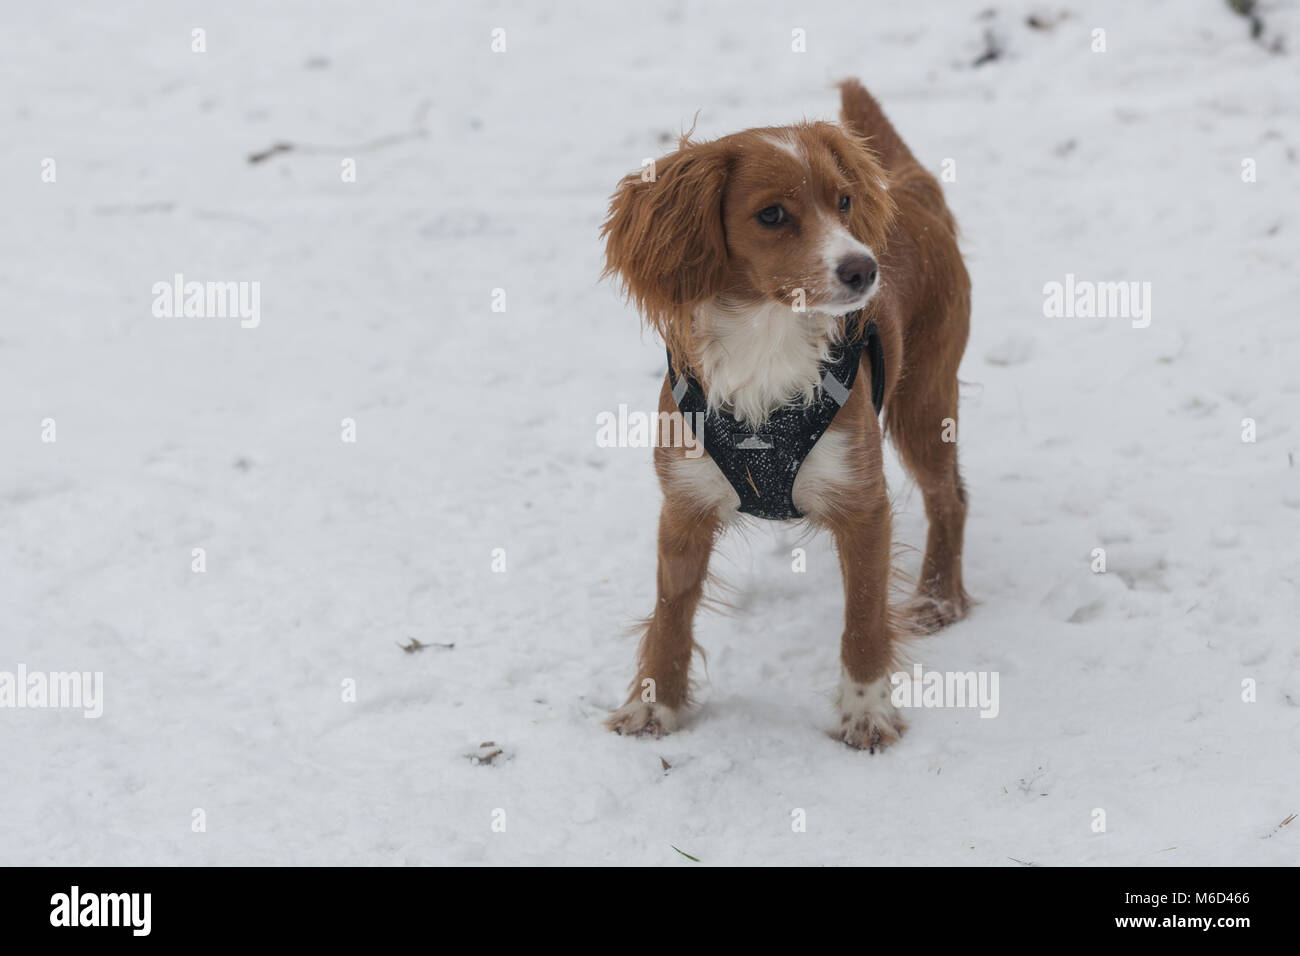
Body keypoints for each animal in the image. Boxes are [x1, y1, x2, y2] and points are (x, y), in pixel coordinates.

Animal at [598, 82, 967, 749]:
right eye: (771, 215)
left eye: (844, 201)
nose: (864, 269)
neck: (766, 345)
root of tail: (910, 188)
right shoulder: (684, 505)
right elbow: (670, 616)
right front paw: (653, 707)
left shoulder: (862, 503)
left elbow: (864, 620)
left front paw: (866, 713)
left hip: (926, 403)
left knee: (950, 497)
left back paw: (938, 599)